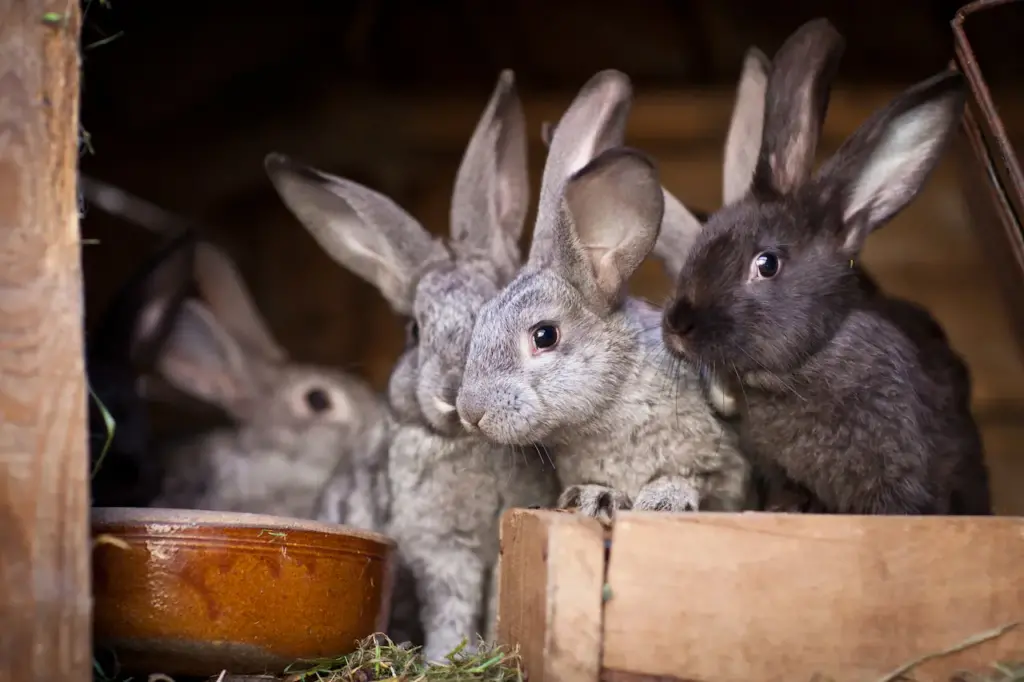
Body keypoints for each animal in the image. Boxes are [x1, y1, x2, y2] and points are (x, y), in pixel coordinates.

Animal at [264, 70, 561, 659]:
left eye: (495, 308)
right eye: (415, 332)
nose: (452, 395)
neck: (468, 444)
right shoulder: (440, 551)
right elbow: (450, 606)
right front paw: (450, 656)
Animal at [456, 69, 753, 518]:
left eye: (545, 336)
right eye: (482, 318)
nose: (471, 412)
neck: (611, 403)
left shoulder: (722, 463)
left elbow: (696, 477)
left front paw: (663, 499)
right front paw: (592, 497)